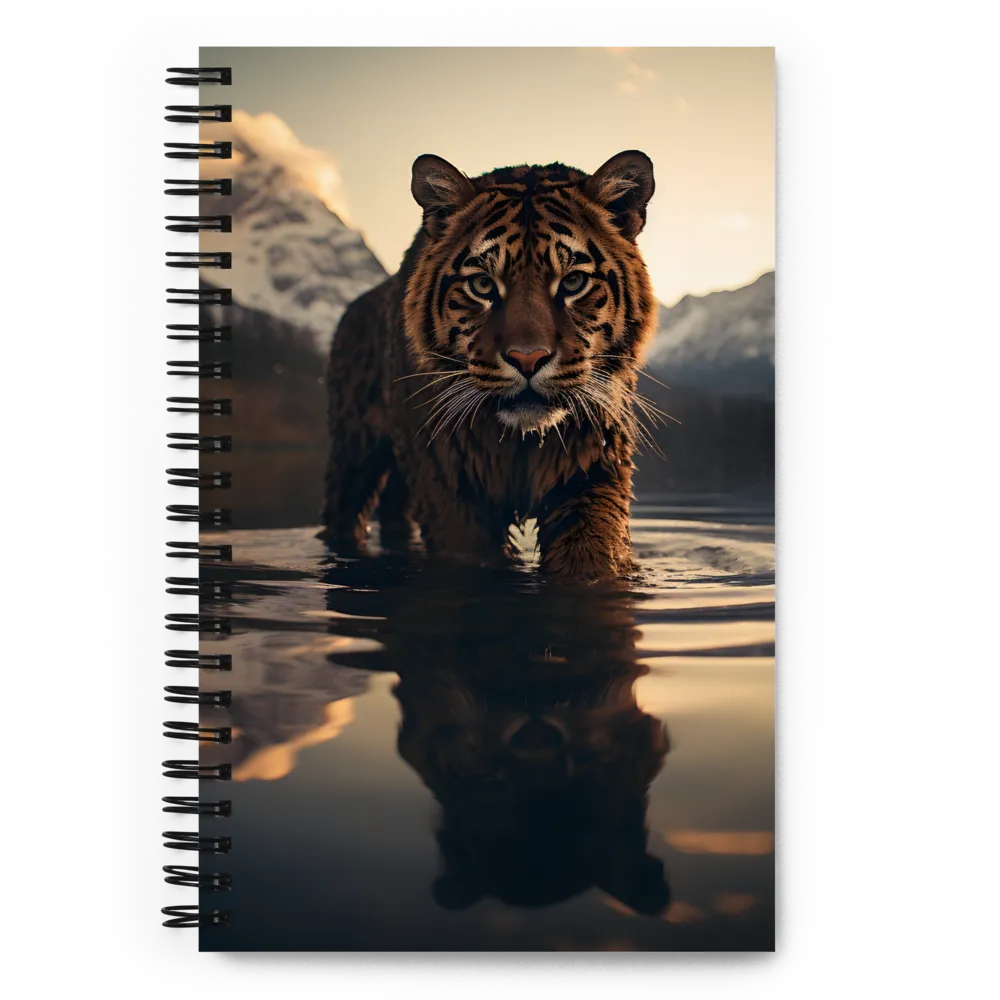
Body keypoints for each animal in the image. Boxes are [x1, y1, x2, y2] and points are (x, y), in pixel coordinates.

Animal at [320, 150, 659, 581]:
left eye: (572, 282)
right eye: (482, 285)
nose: (528, 358)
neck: (521, 441)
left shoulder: (591, 469)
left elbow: (591, 557)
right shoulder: (449, 486)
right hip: (353, 456)